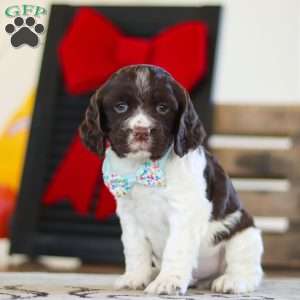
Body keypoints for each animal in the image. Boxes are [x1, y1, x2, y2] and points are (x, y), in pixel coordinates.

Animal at [79, 63, 262, 296]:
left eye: (163, 108)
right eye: (120, 107)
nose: (141, 131)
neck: (144, 167)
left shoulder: (185, 212)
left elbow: (176, 248)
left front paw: (167, 282)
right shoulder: (129, 215)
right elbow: (135, 248)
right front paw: (135, 277)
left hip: (244, 232)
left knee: (246, 265)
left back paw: (232, 281)